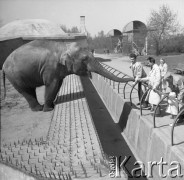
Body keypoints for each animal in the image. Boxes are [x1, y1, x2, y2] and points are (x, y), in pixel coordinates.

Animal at [2, 40, 134, 112]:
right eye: (85, 59)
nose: (133, 79)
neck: (64, 46)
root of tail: (3, 65)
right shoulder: (50, 68)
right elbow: (51, 85)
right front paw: (49, 109)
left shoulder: (58, 70)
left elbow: (58, 84)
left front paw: (52, 104)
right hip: (14, 76)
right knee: (26, 91)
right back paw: (38, 109)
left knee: (29, 90)